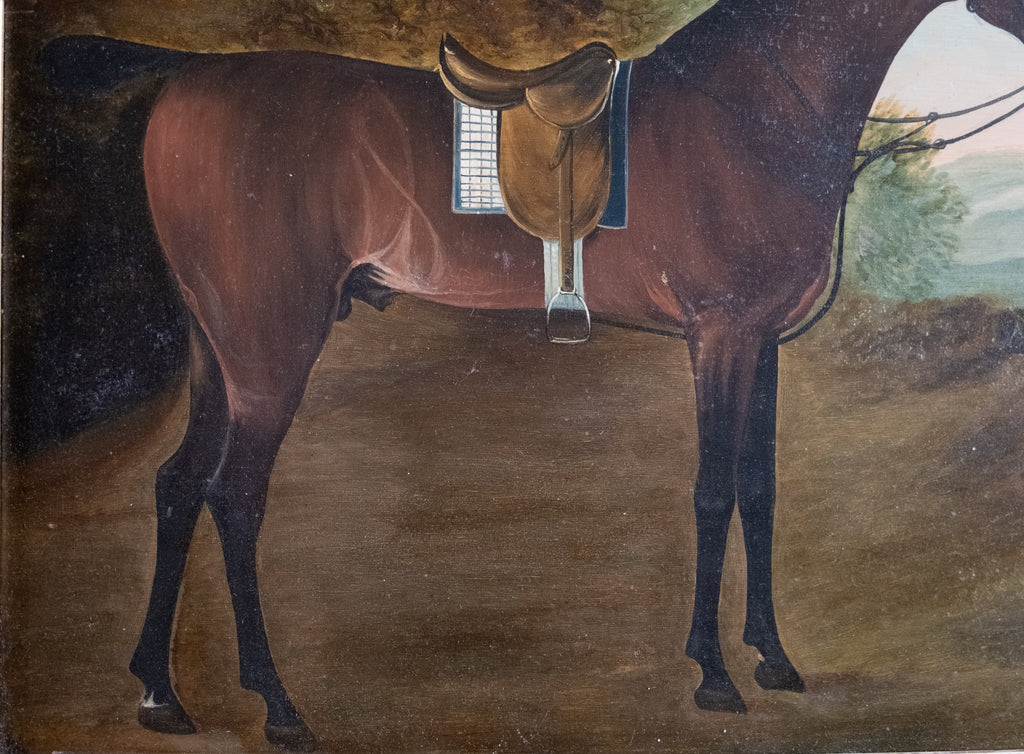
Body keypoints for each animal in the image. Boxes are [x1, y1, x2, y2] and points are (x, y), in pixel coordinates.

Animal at [122, 0, 1024, 748]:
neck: (757, 107)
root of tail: (181, 85)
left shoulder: (762, 344)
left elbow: (759, 491)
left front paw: (772, 658)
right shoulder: (720, 336)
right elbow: (714, 494)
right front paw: (715, 676)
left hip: (218, 351)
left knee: (177, 483)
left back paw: (160, 694)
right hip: (269, 350)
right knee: (234, 498)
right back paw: (277, 705)